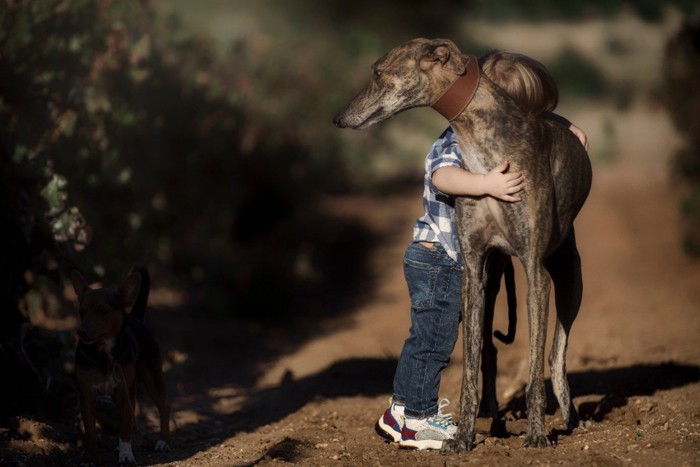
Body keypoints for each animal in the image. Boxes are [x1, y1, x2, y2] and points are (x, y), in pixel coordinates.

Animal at [71, 266, 171, 464]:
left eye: (103, 311)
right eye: (81, 311)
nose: (81, 332)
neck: (104, 354)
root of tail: (135, 317)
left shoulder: (127, 394)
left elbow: (126, 428)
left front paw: (126, 455)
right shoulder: (86, 396)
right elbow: (91, 431)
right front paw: (90, 456)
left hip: (151, 379)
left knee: (164, 407)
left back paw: (163, 441)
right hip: (118, 394)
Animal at [334, 39, 592, 454]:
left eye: (377, 72)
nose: (339, 119)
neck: (483, 144)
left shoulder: (534, 268)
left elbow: (534, 363)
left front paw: (537, 433)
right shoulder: (472, 268)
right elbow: (469, 363)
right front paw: (464, 437)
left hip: (569, 278)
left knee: (556, 352)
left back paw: (569, 416)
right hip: (492, 281)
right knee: (490, 348)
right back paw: (490, 412)